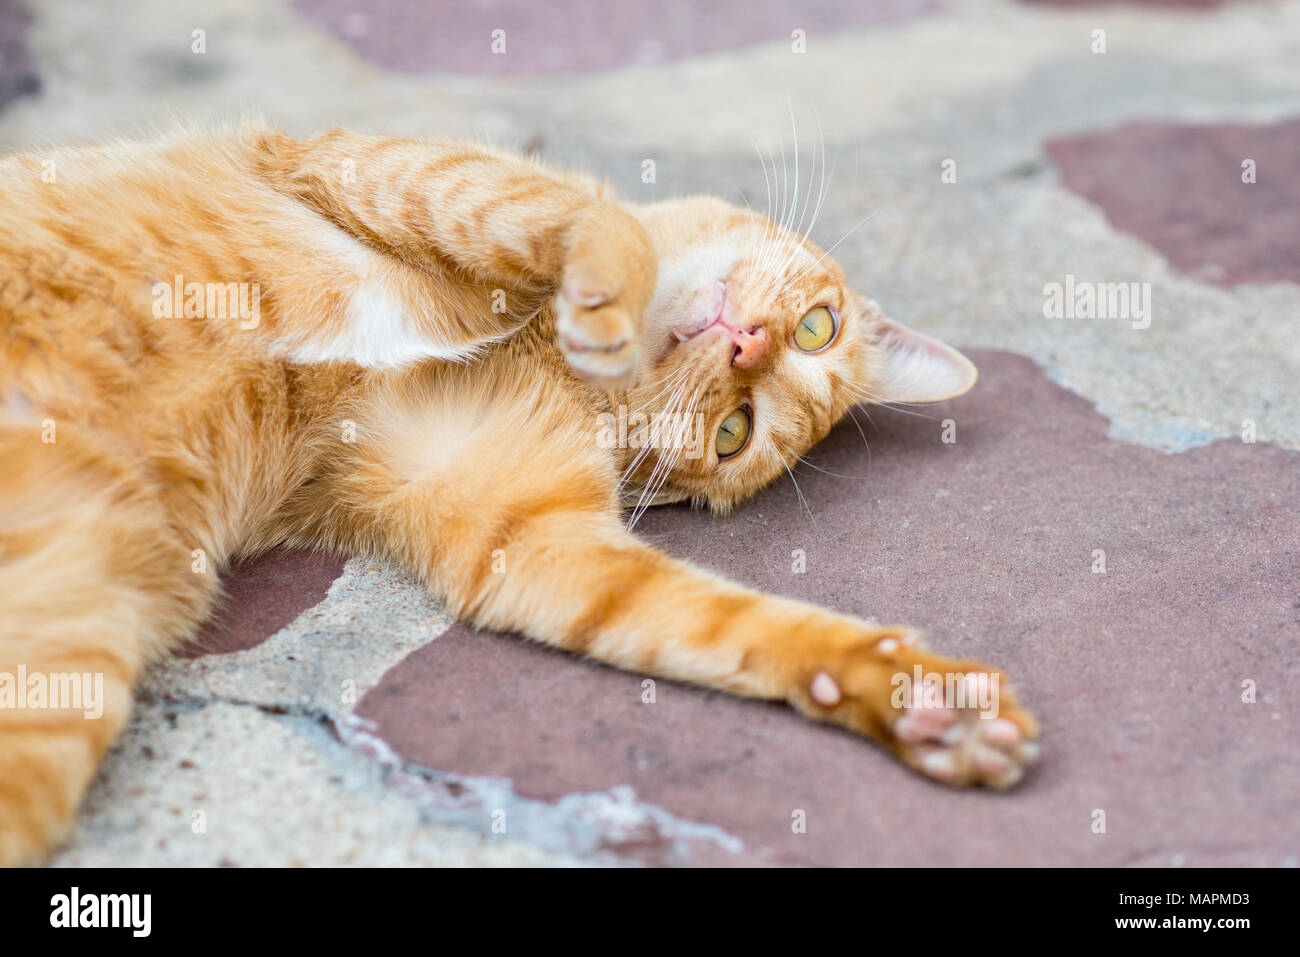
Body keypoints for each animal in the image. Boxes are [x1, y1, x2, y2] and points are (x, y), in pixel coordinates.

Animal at [0, 123, 1034, 863]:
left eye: (735, 430)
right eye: (819, 327)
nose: (748, 345)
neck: (539, 349)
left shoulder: (529, 537)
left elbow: (735, 625)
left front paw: (911, 697)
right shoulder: (379, 166)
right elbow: (588, 218)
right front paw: (606, 283)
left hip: (65, 660)